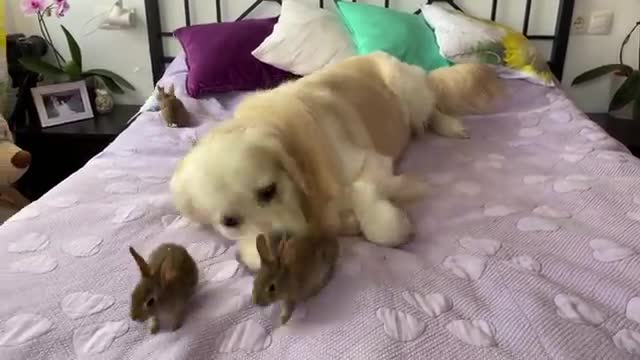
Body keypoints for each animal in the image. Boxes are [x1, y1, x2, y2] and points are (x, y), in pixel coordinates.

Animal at [172, 51, 502, 270]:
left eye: (268, 190)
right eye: (229, 221)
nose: (278, 249)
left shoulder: (370, 162)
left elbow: (374, 216)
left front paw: (386, 218)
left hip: (406, 89)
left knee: (430, 112)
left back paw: (449, 125)